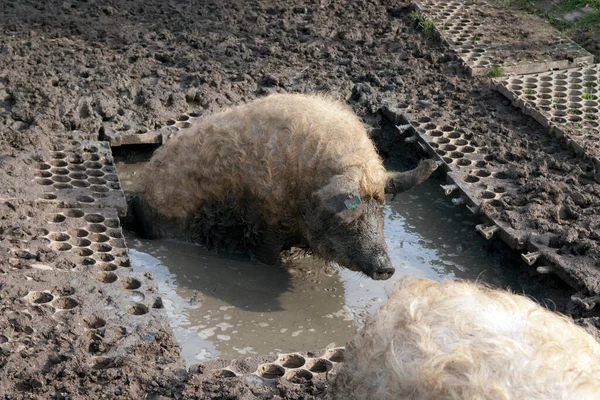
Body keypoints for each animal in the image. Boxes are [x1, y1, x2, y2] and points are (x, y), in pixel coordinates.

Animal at [132, 94, 440, 282]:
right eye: (349, 215)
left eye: (382, 210)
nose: (387, 268)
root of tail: (141, 191)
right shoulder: (265, 223)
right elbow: (268, 258)